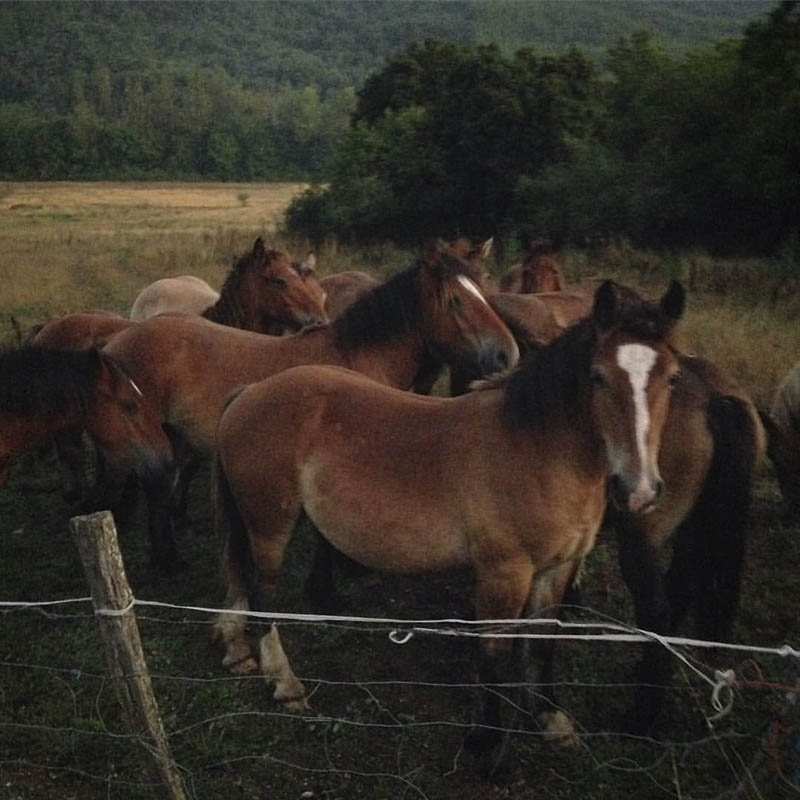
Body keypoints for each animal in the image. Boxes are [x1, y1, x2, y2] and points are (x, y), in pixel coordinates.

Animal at [212, 280, 688, 776]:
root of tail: (251, 391)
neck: (539, 449)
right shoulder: (504, 573)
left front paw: (551, 721)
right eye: (597, 376)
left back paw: (239, 652)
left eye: (673, 378)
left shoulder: (557, 569)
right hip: (271, 526)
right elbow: (494, 654)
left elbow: (542, 644)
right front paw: (487, 749)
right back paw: (285, 685)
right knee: (264, 596)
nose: (639, 490)